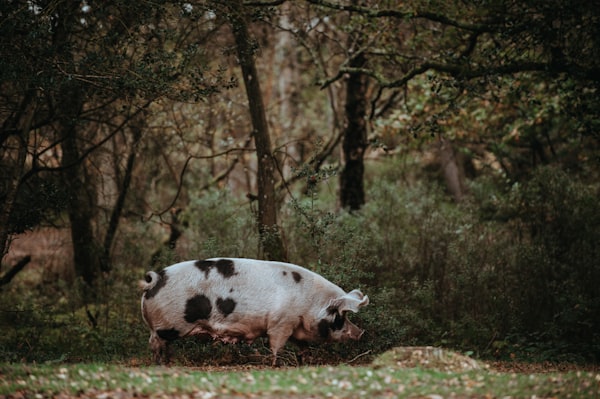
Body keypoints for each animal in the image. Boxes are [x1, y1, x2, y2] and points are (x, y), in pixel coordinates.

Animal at [141, 260, 368, 366]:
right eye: (340, 316)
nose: (360, 333)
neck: (310, 304)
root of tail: (154, 280)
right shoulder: (281, 323)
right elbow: (276, 345)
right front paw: (276, 364)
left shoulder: (293, 325)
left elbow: (303, 346)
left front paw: (305, 360)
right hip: (166, 326)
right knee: (155, 342)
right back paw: (160, 364)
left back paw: (169, 362)